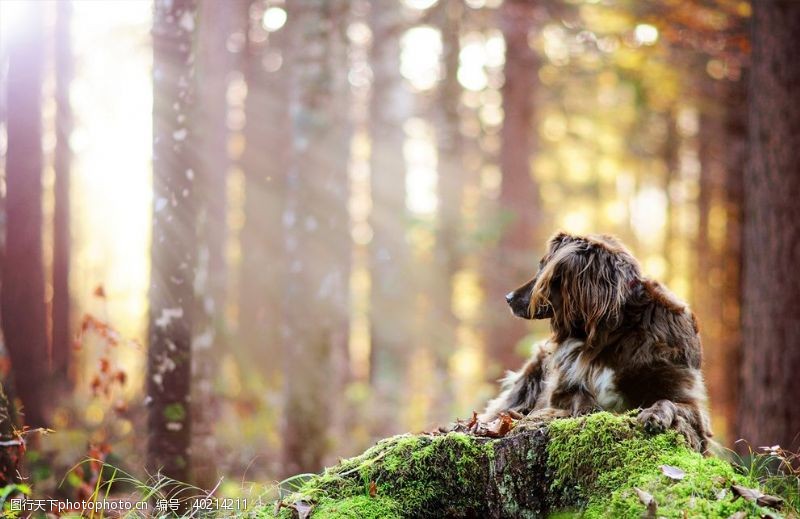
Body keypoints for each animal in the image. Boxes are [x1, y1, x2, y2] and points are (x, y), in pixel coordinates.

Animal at [482, 232, 712, 450]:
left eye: (543, 268)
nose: (508, 298)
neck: (611, 332)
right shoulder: (560, 390)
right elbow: (579, 397)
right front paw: (586, 410)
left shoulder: (689, 404)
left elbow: (670, 401)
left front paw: (654, 415)